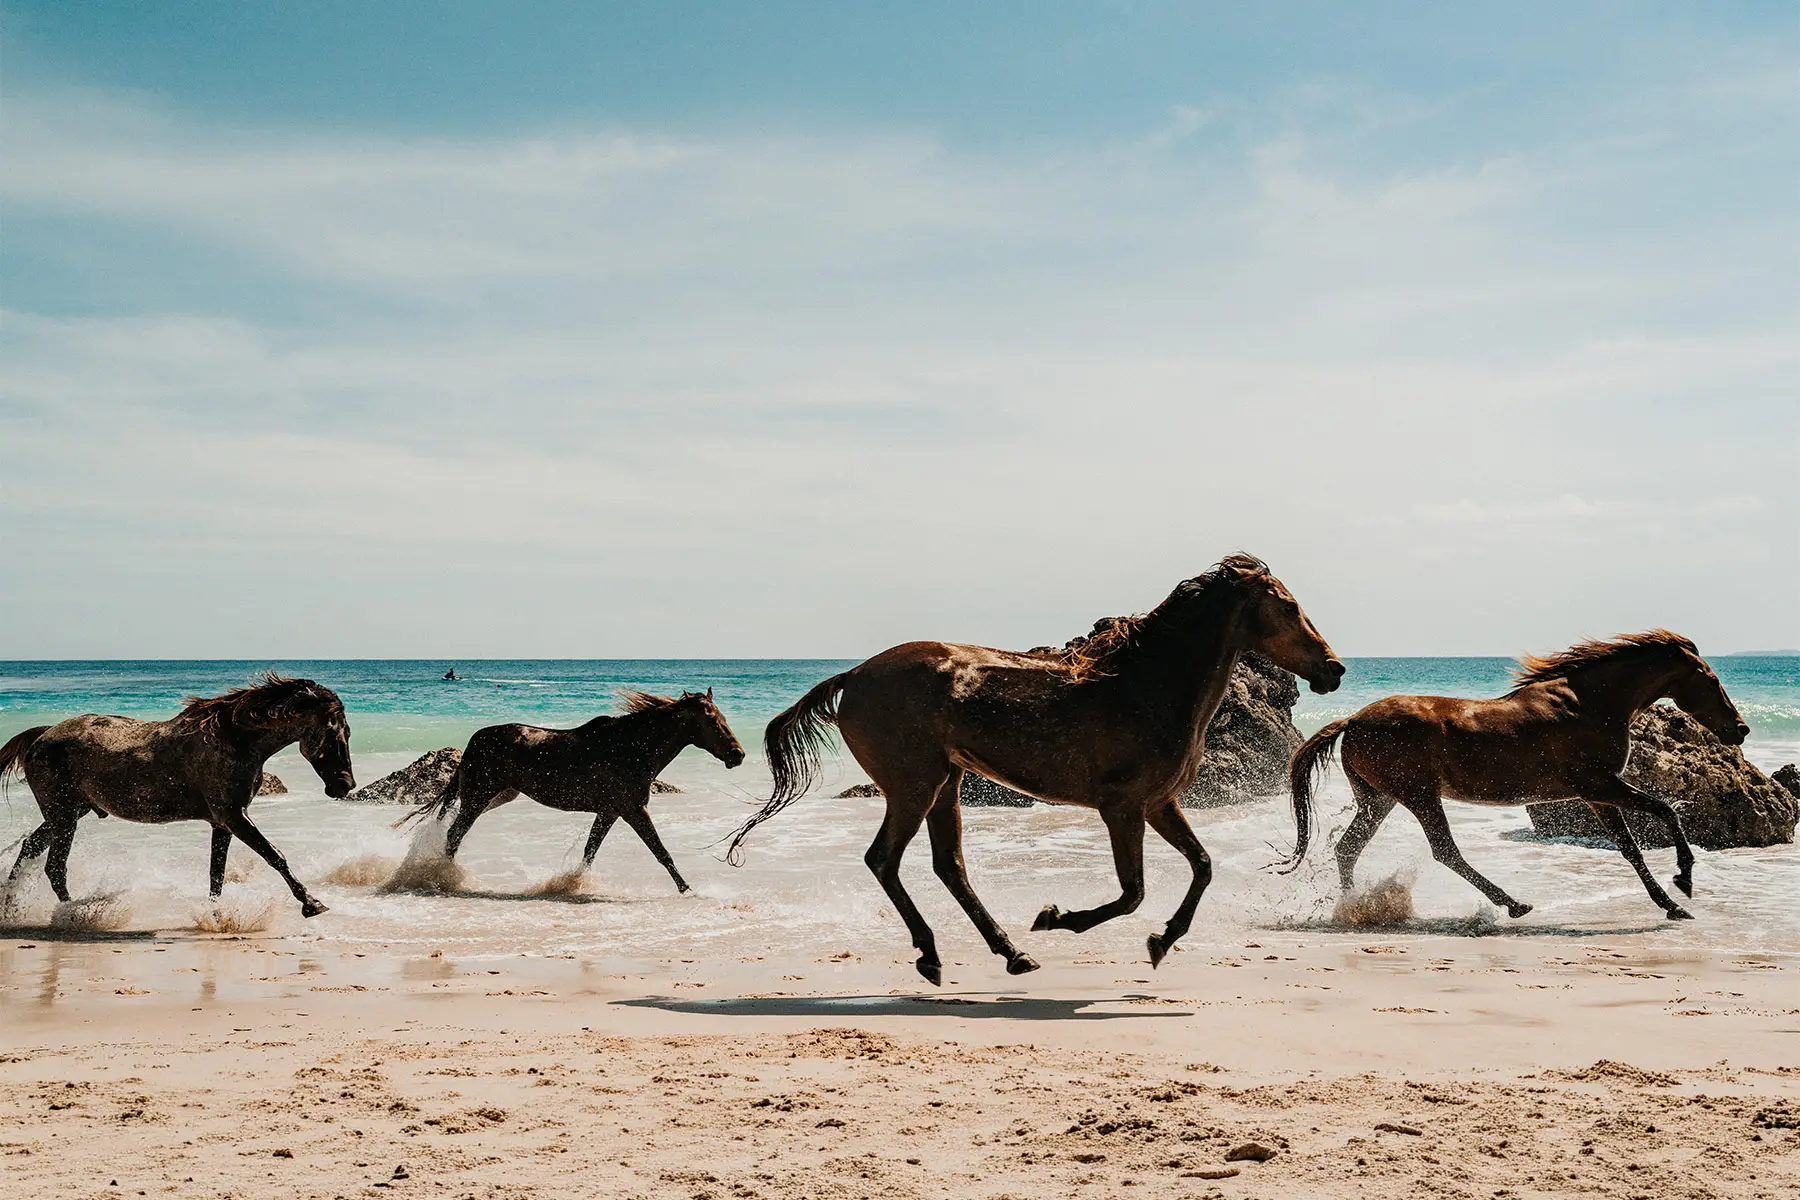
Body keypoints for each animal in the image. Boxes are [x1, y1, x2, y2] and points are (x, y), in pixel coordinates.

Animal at [0, 673, 354, 917]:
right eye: (338, 733)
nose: (345, 785)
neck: (235, 741)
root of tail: (42, 736)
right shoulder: (234, 816)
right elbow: (274, 855)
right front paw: (312, 903)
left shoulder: (222, 823)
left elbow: (216, 875)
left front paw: (215, 916)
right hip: (63, 817)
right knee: (54, 867)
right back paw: (74, 912)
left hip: (69, 813)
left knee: (31, 849)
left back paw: (13, 907)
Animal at [402, 689, 745, 892]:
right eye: (712, 721)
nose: (737, 755)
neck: (632, 746)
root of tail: (474, 741)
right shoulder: (633, 809)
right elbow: (661, 852)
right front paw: (688, 890)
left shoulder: (610, 812)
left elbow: (590, 851)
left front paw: (572, 883)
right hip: (478, 797)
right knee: (454, 835)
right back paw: (444, 877)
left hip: (497, 797)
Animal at [725, 554, 1344, 984]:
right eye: (1289, 607)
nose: (1334, 669)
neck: (1149, 686)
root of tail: (852, 676)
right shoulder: (1122, 808)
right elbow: (1133, 892)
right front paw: (1056, 918)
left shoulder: (1159, 804)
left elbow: (1203, 866)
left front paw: (1161, 942)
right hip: (913, 786)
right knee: (885, 860)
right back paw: (935, 954)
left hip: (946, 783)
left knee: (949, 867)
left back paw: (1011, 954)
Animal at [1285, 630, 1750, 921]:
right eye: (1711, 679)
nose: (1741, 729)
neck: (1588, 703)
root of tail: (1352, 720)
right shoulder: (1599, 785)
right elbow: (1666, 810)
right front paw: (1684, 880)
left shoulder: (1597, 795)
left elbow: (1630, 849)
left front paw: (1672, 905)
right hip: (1418, 795)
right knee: (1444, 851)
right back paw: (1514, 904)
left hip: (1379, 798)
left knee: (1349, 848)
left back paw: (1352, 907)